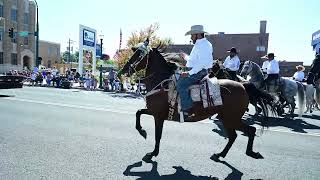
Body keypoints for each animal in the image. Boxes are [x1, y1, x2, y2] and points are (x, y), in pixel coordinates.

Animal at [117, 44, 264, 163]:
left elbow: (157, 136)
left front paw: (152, 153)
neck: (163, 83)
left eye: (139, 55)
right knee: (234, 136)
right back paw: (220, 155)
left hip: (231, 118)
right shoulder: (153, 111)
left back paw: (250, 153)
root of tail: (243, 85)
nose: (123, 70)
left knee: (250, 130)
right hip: (227, 118)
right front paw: (142, 132)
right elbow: (138, 113)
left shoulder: (158, 116)